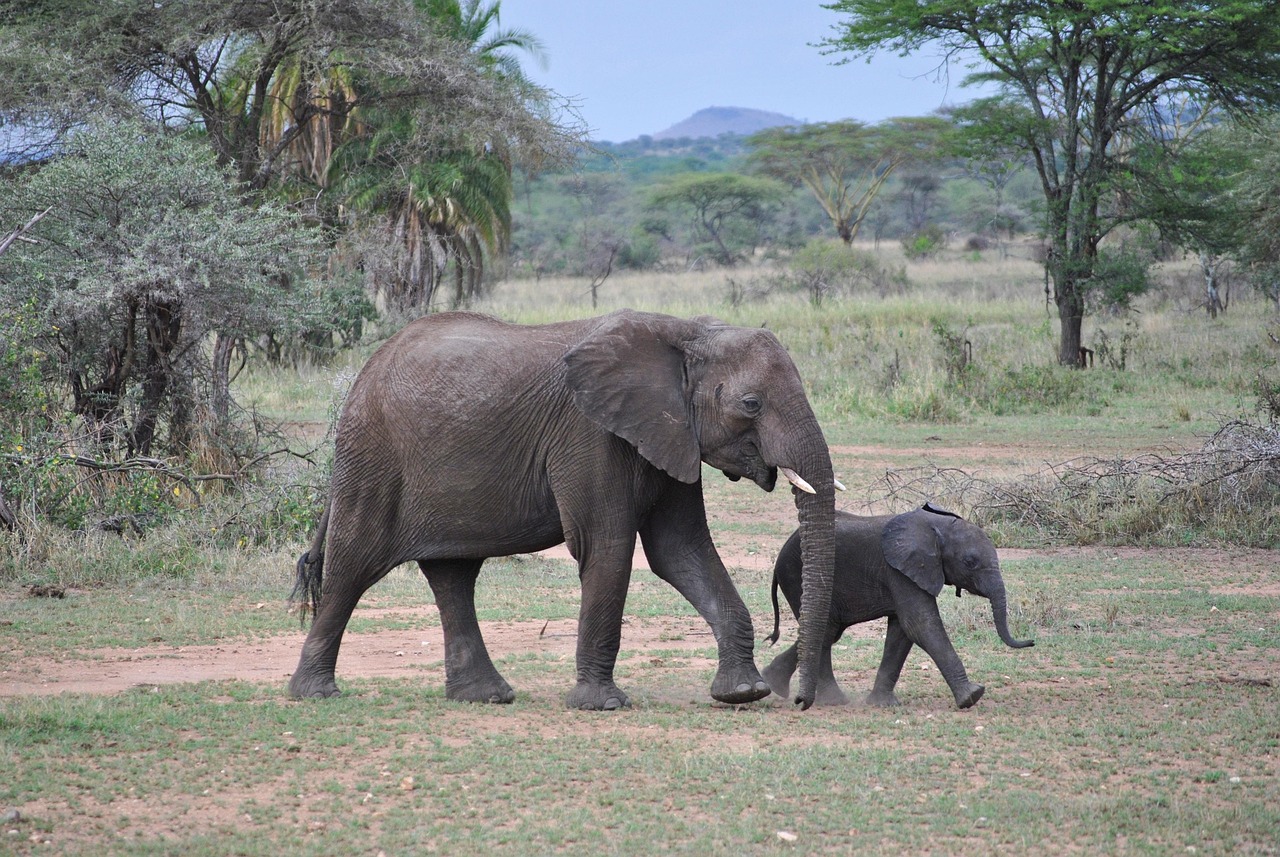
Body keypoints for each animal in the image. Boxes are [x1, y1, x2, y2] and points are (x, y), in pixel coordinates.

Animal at [289, 309, 837, 710]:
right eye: (751, 404)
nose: (801, 702)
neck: (685, 331)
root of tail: (366, 371)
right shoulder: (591, 435)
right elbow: (607, 547)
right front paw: (602, 705)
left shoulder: (669, 434)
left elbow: (681, 551)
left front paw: (743, 693)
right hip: (373, 455)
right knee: (353, 565)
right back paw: (315, 694)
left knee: (453, 575)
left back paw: (485, 697)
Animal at [762, 504, 1034, 709]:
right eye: (970, 562)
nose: (1031, 642)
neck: (935, 525)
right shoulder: (898, 570)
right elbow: (920, 625)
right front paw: (972, 696)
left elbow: (902, 632)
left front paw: (883, 704)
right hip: (795, 575)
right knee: (826, 630)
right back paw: (826, 699)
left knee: (828, 631)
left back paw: (779, 684)